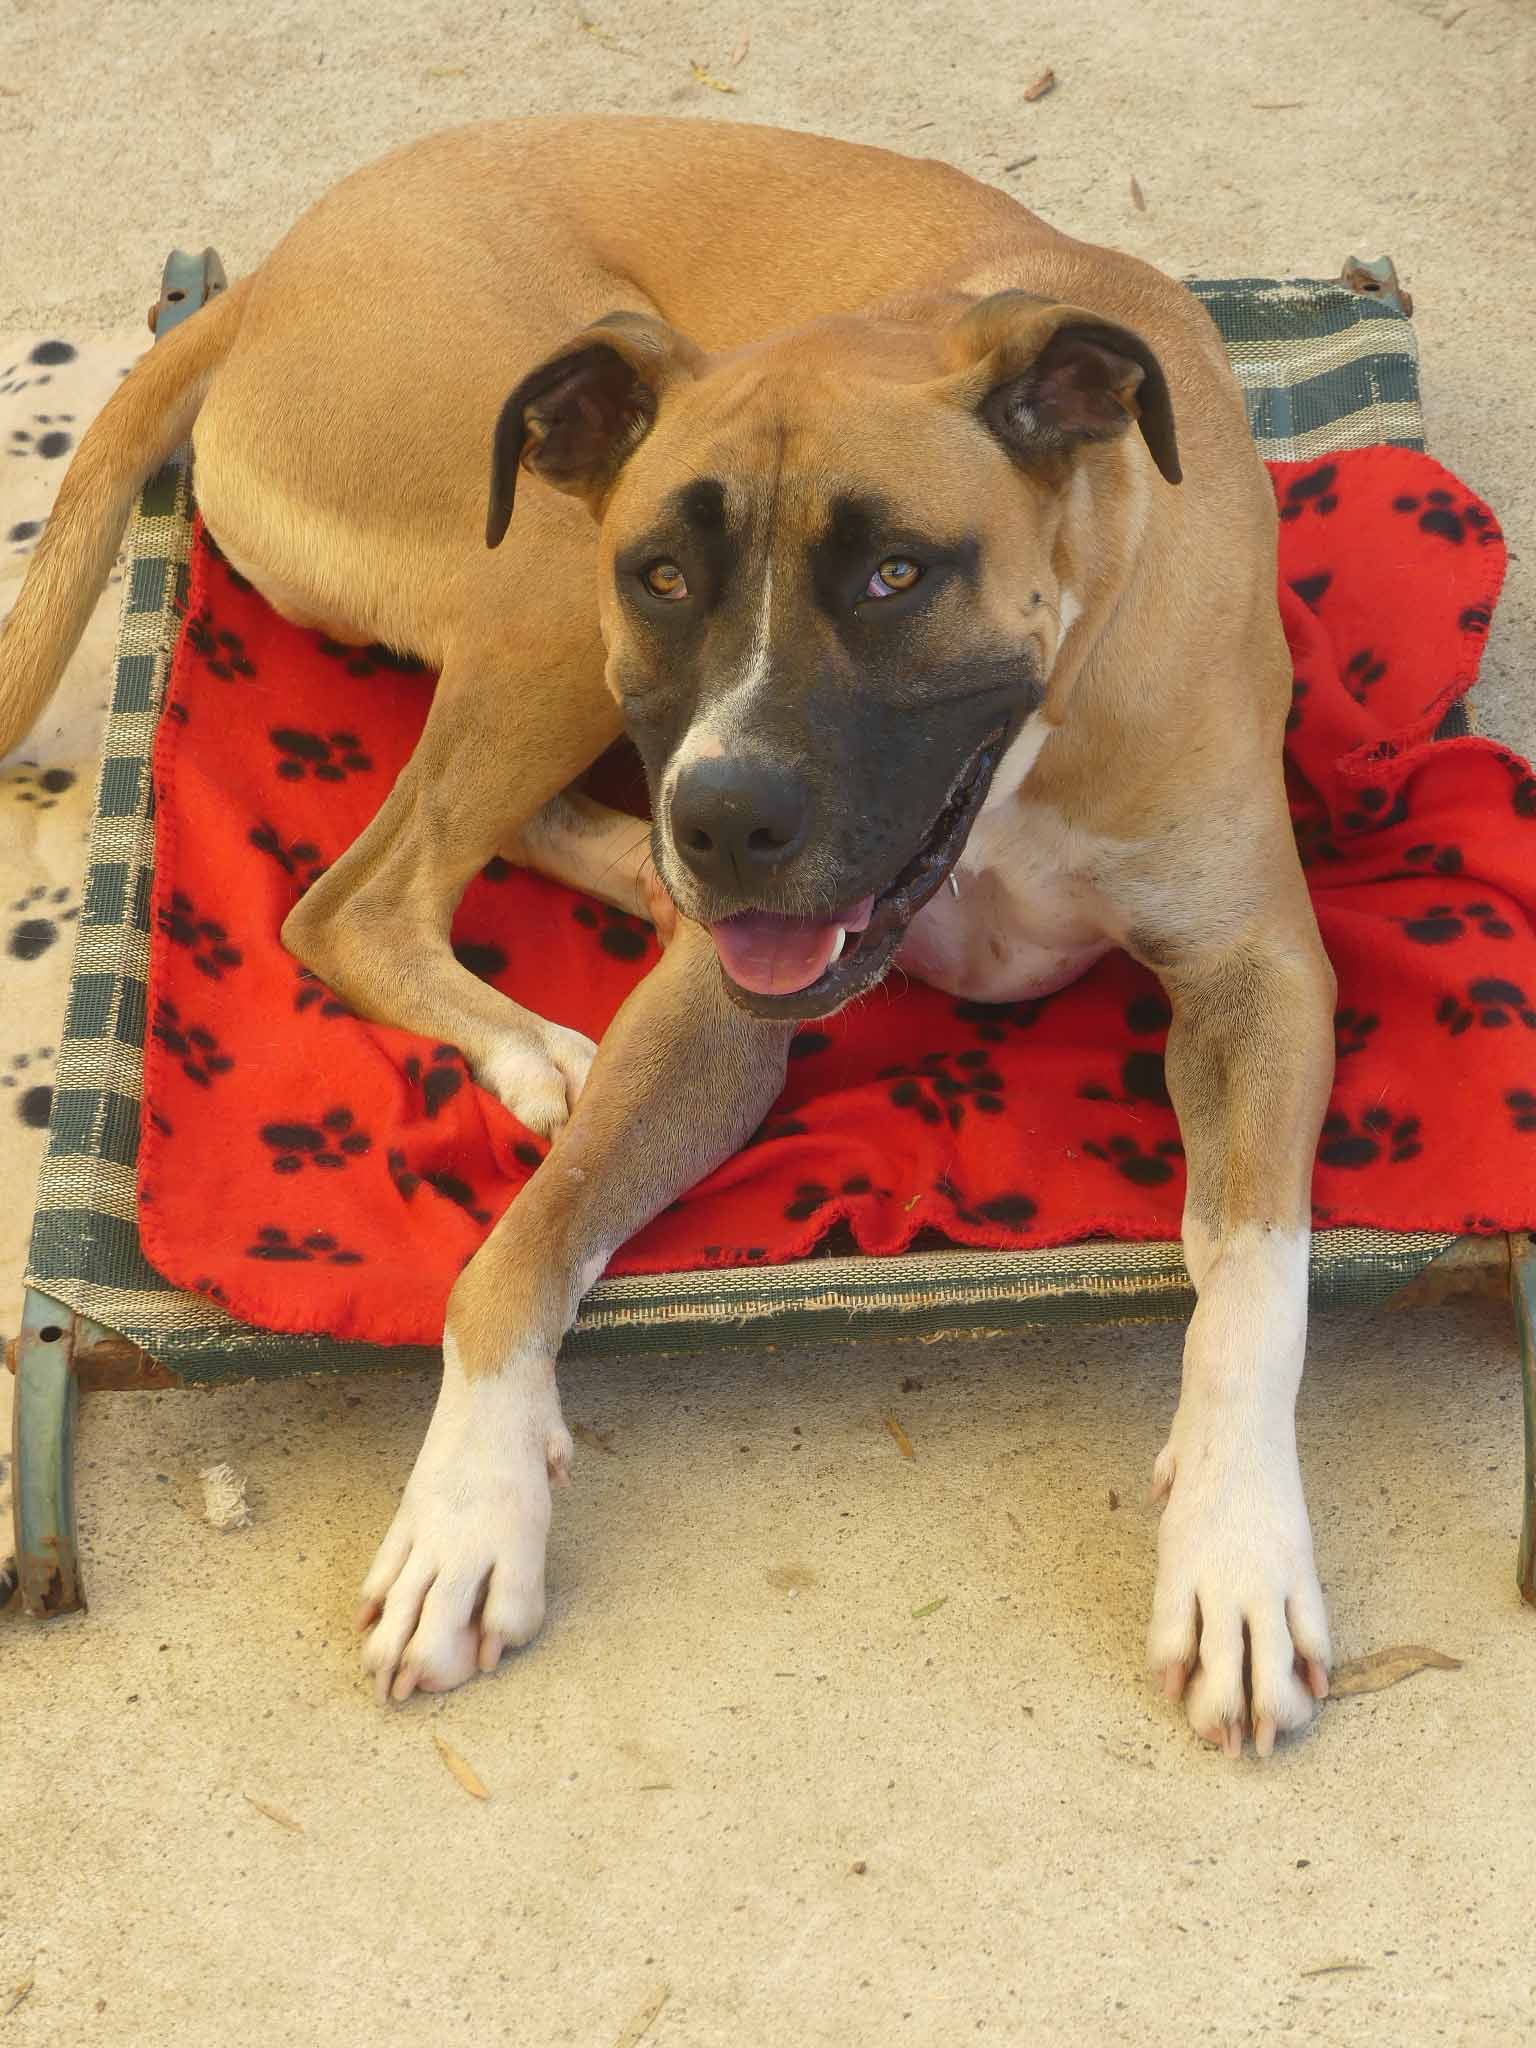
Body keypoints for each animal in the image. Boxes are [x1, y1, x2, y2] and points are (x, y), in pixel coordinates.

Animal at [1, 117, 1335, 1755]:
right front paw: (466, 1509)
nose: (722, 825)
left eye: (898, 574)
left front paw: (1238, 1554)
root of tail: (263, 278)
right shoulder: (712, 1003)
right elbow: (516, 1246)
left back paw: (619, 890)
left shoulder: (1259, 980)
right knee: (358, 893)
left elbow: (1255, 1277)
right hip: (541, 581)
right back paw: (539, 1029)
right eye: (667, 574)